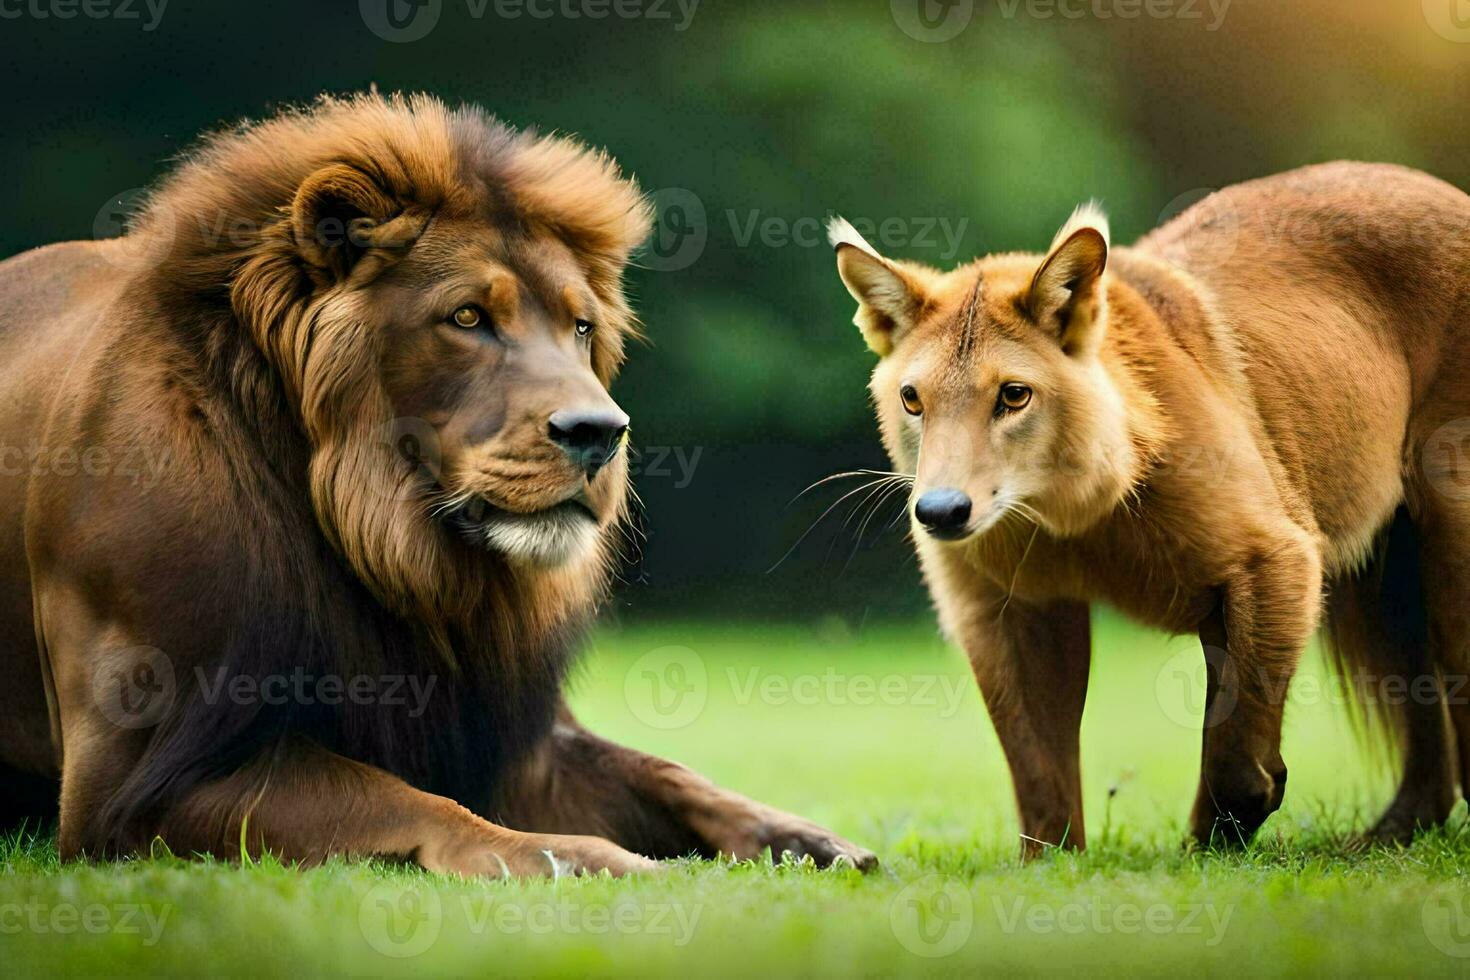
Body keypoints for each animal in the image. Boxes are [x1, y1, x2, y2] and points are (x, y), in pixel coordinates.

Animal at [0, 89, 870, 875]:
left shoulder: (509, 741)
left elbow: (669, 773)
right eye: (468, 318)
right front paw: (580, 859)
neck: (392, 543)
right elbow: (403, 800)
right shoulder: (131, 788)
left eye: (580, 326)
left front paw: (810, 841)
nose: (600, 433)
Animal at [829, 164, 1470, 852]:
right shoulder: (1002, 608)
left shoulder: (1274, 557)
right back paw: (1389, 834)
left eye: (1014, 395)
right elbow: (1038, 770)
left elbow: (1235, 741)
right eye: (913, 399)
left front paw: (1224, 833)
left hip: (1446, 535)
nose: (942, 512)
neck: (1066, 516)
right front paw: (1054, 865)